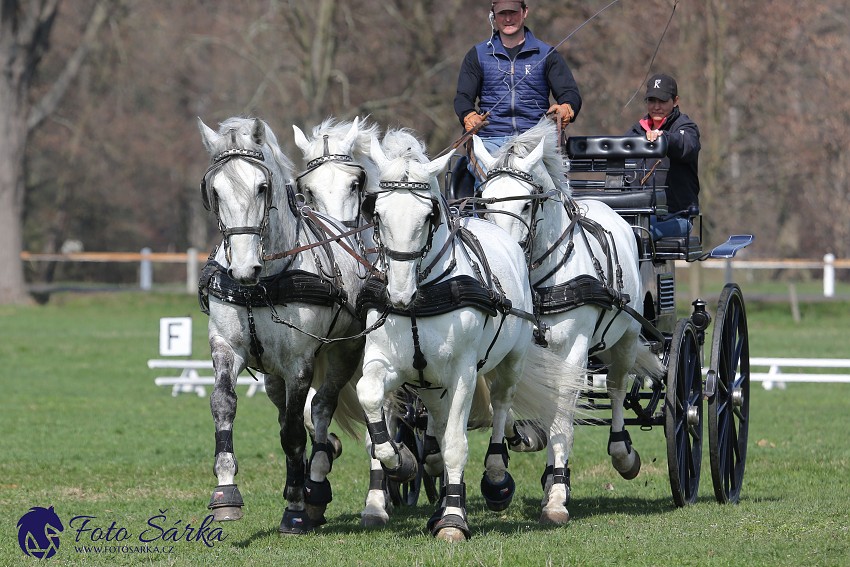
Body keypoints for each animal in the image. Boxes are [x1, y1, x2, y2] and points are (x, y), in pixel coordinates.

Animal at [195, 117, 364, 536]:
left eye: (262, 186)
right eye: (215, 192)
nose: (244, 268)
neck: (262, 282)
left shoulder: (299, 361)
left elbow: (292, 431)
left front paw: (296, 507)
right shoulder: (226, 347)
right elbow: (224, 405)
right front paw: (226, 492)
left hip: (344, 351)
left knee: (320, 408)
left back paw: (316, 482)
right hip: (272, 374)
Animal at [356, 129, 584, 540]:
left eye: (428, 214)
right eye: (377, 213)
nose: (398, 293)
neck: (420, 298)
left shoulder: (462, 372)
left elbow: (456, 445)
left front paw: (452, 520)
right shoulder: (385, 363)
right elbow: (370, 398)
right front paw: (399, 461)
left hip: (510, 361)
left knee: (501, 404)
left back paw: (494, 478)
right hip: (430, 384)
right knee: (439, 422)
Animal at [474, 122, 664, 524]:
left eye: (527, 202)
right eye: (483, 202)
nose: (504, 253)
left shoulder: (572, 350)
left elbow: (562, 414)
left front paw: (557, 496)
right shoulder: (513, 349)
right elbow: (505, 401)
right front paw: (504, 470)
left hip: (626, 337)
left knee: (618, 388)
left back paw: (622, 454)